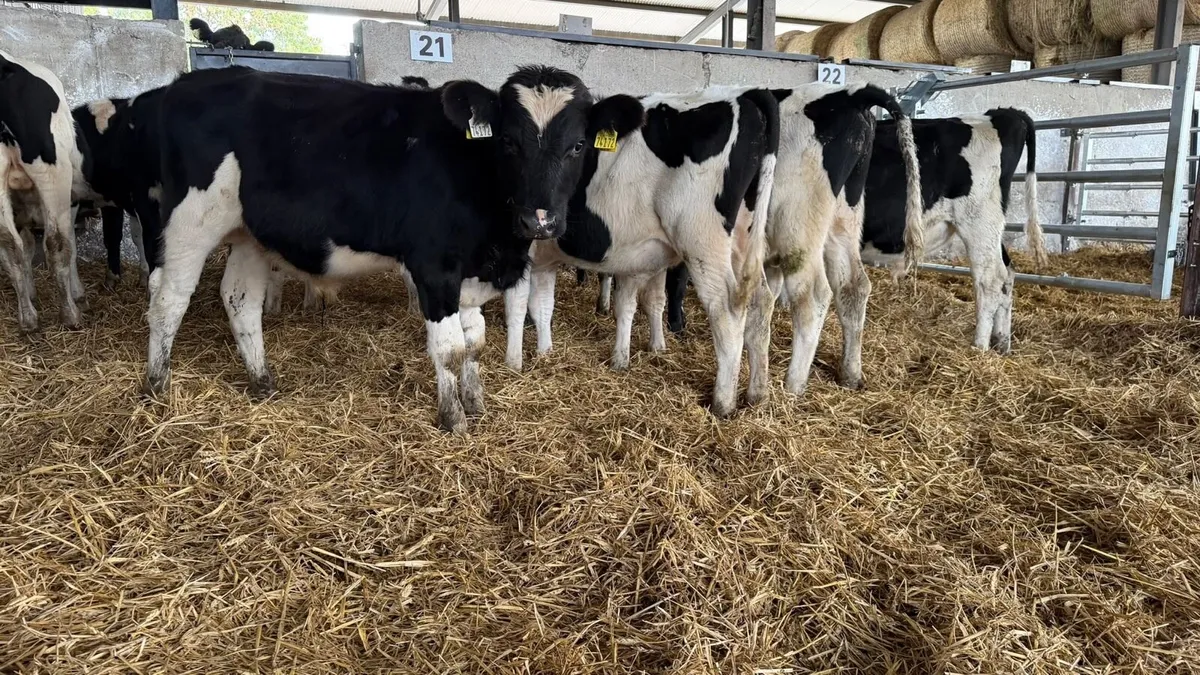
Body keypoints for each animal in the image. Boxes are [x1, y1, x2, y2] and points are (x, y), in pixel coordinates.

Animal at [1, 50, 90, 332]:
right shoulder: (69, 201)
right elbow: (69, 242)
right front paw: (77, 292)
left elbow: (26, 248)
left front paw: (30, 294)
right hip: (54, 175)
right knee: (56, 243)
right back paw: (70, 314)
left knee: (10, 247)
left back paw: (28, 319)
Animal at [140, 65, 644, 433]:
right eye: (507, 141)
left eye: (578, 145)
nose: (539, 220)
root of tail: (187, 82)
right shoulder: (434, 267)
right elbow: (449, 348)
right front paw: (453, 419)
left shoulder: (471, 272)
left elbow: (475, 341)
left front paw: (475, 402)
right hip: (191, 220)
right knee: (168, 298)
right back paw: (156, 385)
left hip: (248, 233)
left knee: (240, 299)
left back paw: (262, 381)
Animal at [519, 85, 781, 418]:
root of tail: (746, 95)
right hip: (742, 241)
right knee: (761, 302)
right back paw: (757, 394)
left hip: (703, 242)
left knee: (727, 311)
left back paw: (723, 402)